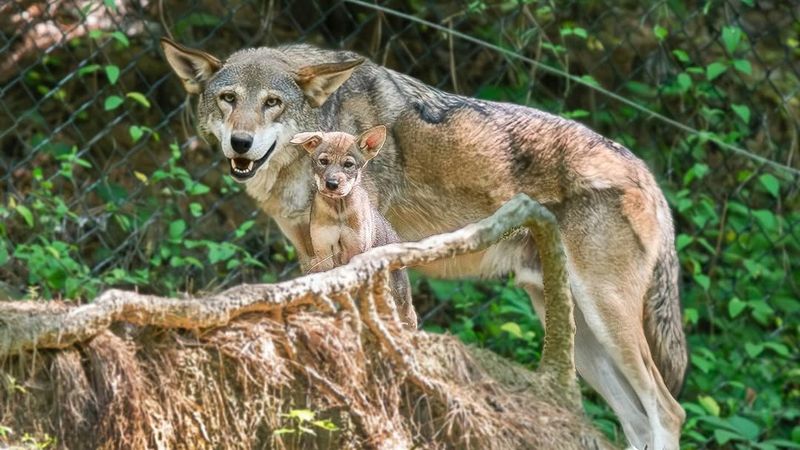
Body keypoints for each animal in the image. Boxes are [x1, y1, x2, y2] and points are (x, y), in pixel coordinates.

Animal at [292, 125, 418, 328]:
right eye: (323, 161)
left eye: (348, 165)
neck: (338, 210)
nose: (332, 184)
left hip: (400, 299)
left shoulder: (355, 251)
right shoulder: (323, 252)